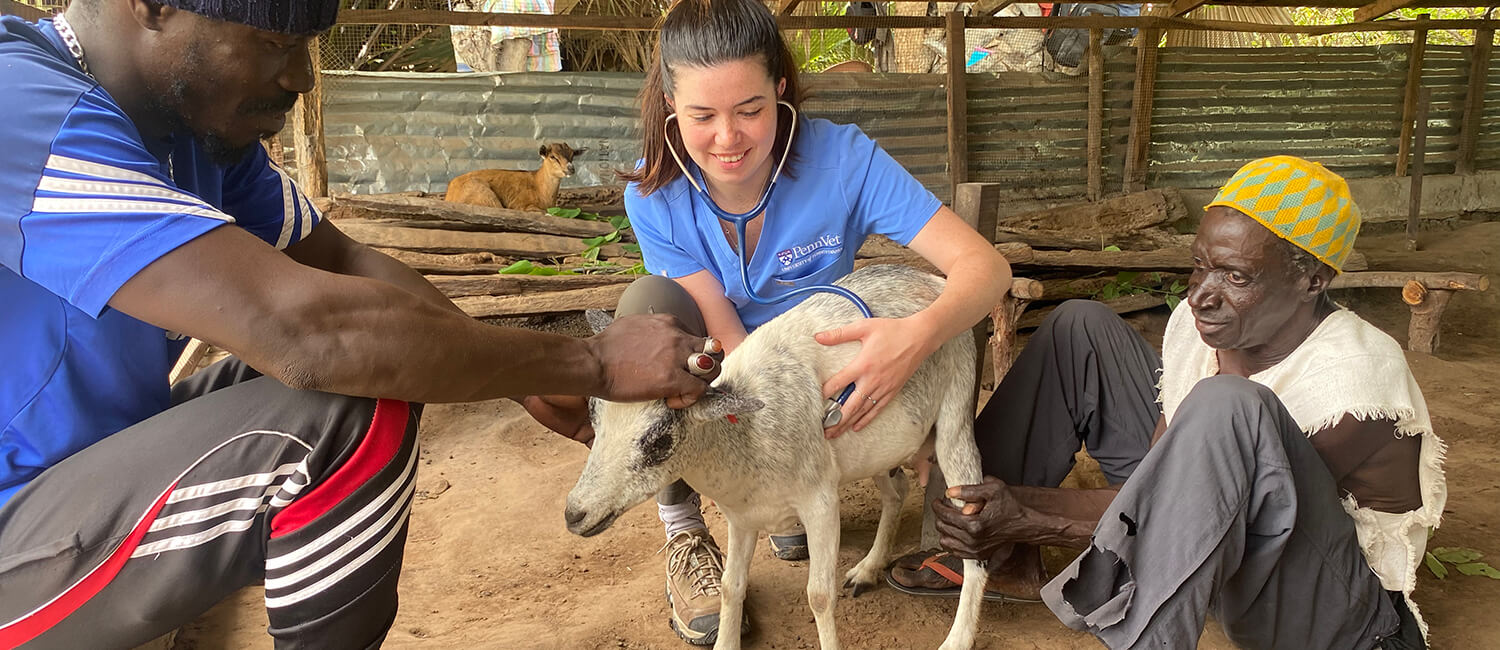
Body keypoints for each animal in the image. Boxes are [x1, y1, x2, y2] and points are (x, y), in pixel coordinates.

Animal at [444, 142, 585, 211]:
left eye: (573, 155)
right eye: (553, 156)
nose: (571, 168)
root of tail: (449, 195)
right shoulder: (521, 204)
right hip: (484, 194)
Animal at [564, 264, 984, 648]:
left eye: (659, 441)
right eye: (592, 412)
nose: (574, 514)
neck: (746, 438)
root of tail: (930, 278)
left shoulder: (820, 502)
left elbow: (819, 596)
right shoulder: (740, 515)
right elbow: (731, 586)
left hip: (956, 410)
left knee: (972, 534)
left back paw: (957, 638)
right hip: (873, 439)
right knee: (896, 491)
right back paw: (867, 569)